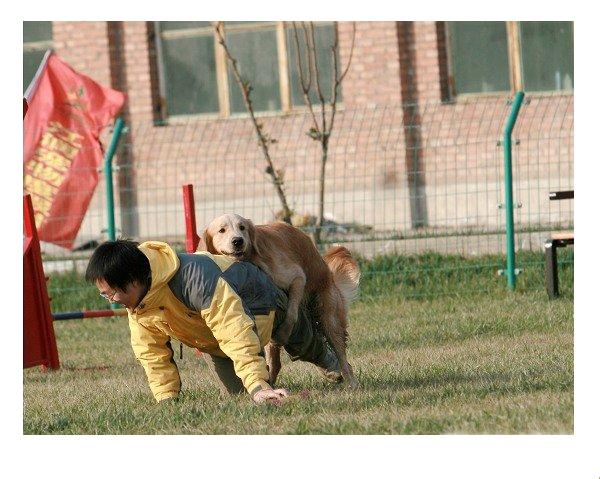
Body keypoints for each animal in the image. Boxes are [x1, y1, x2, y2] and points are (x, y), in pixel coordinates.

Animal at [202, 215, 360, 390]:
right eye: (222, 230)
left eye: (242, 227)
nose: (238, 241)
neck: (251, 261)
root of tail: (330, 276)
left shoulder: (297, 277)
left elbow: (291, 314)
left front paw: (283, 333)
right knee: (278, 362)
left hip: (329, 318)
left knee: (340, 353)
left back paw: (351, 382)